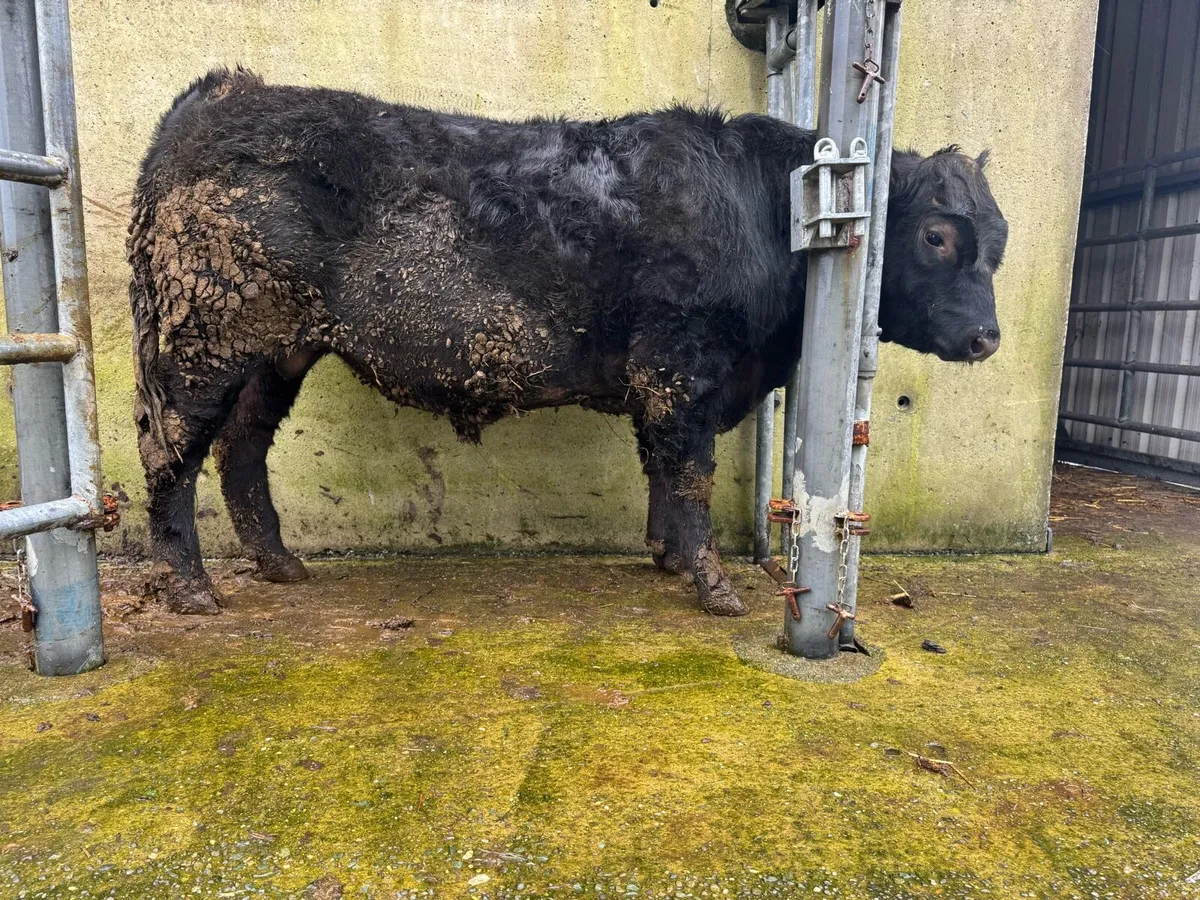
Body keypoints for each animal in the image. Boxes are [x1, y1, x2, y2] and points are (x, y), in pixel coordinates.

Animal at [127, 68, 1007, 616]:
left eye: (998, 242)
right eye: (936, 236)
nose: (987, 338)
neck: (760, 204)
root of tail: (221, 94)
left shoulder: (671, 381)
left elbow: (663, 471)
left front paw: (668, 558)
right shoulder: (682, 364)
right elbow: (689, 473)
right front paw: (713, 586)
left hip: (278, 351)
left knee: (240, 447)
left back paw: (279, 564)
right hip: (205, 341)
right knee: (170, 448)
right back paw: (191, 587)